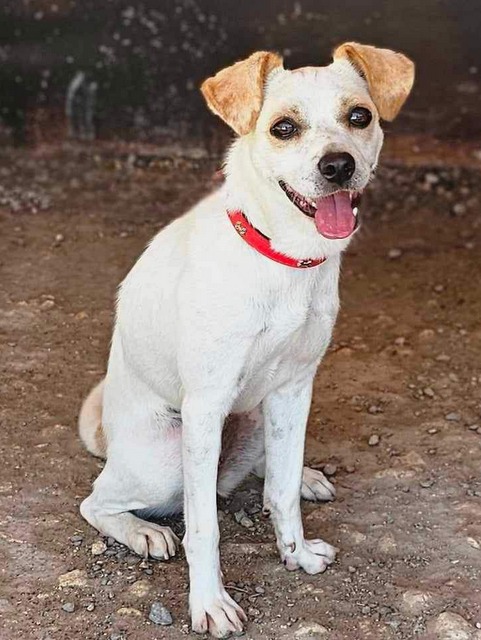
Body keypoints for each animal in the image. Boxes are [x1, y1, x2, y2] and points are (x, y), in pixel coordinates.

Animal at [78, 42, 414, 637]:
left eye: (360, 117)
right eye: (283, 128)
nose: (338, 165)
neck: (285, 258)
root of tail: (109, 434)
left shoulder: (294, 390)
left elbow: (278, 489)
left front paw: (296, 552)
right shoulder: (206, 405)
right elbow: (203, 529)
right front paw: (209, 603)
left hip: (258, 416)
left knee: (265, 471)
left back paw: (305, 477)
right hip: (164, 459)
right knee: (99, 503)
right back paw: (143, 532)